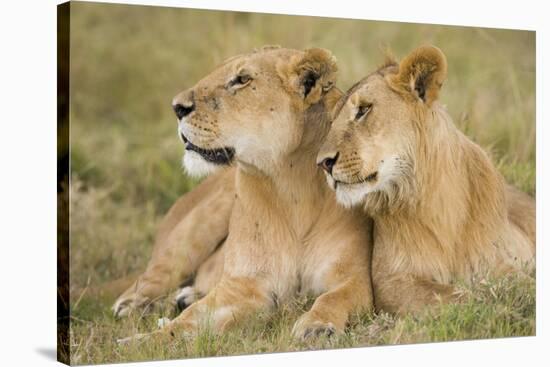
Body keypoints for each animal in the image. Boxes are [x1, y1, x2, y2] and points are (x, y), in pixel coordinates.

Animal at [120, 47, 376, 344]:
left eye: (242, 79)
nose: (177, 107)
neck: (292, 186)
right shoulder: (241, 285)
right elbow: (186, 321)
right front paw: (139, 342)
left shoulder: (354, 278)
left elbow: (332, 298)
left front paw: (316, 326)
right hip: (194, 231)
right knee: (152, 277)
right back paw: (133, 306)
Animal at [316, 44, 536, 314]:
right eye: (332, 122)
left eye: (364, 110)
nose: (323, 163)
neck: (435, 198)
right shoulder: (391, 280)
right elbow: (460, 296)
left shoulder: (496, 261)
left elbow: (521, 285)